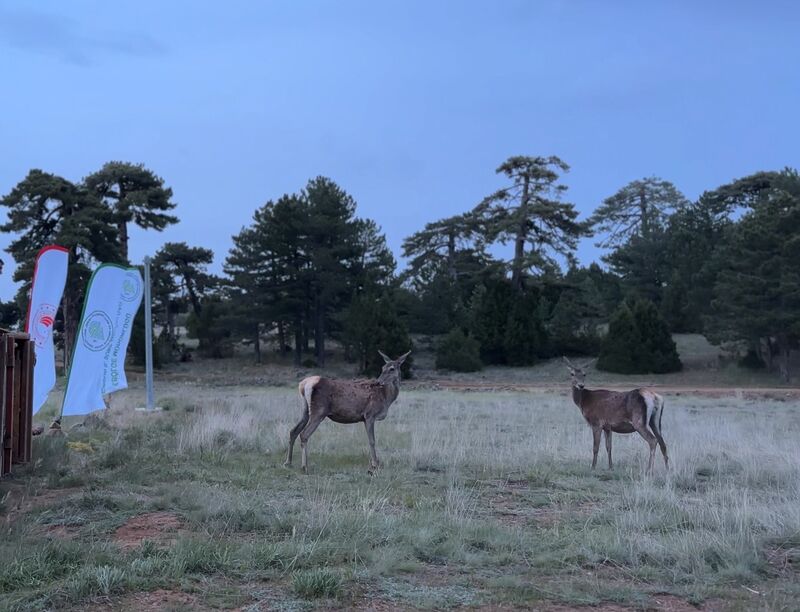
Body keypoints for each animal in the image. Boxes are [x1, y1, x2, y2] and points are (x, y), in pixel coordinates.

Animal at [282, 350, 410, 474]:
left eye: (391, 368)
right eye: (383, 367)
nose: (379, 382)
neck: (386, 398)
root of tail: (304, 385)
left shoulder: (365, 418)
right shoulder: (369, 415)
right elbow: (372, 440)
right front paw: (374, 465)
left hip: (305, 410)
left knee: (293, 431)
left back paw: (288, 462)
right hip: (319, 411)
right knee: (304, 434)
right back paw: (305, 467)